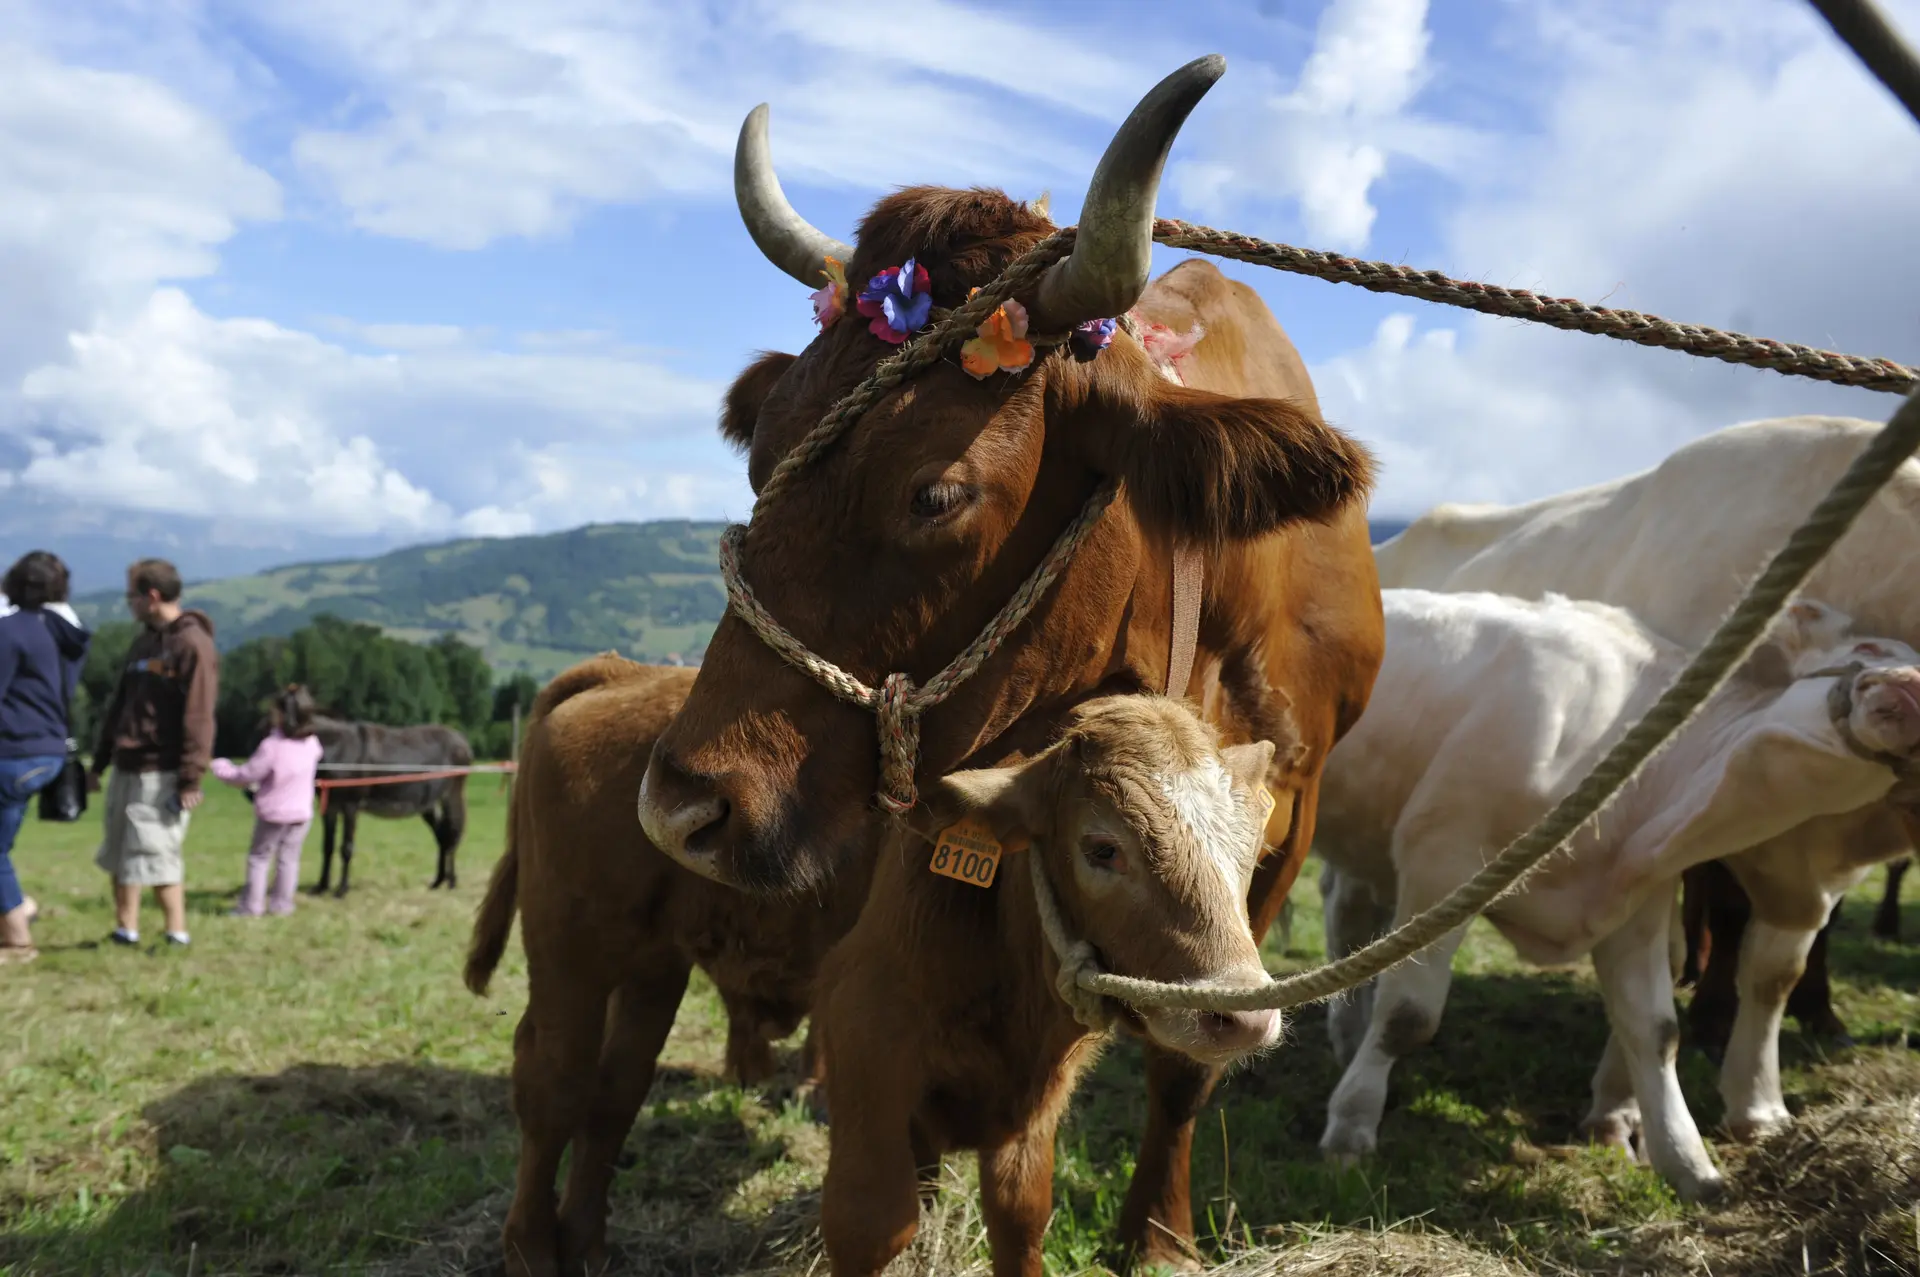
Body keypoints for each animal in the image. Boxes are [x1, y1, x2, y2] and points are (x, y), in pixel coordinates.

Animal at [307, 717, 472, 896]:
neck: (338, 748)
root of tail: (461, 739)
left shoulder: (350, 806)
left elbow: (346, 848)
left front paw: (342, 890)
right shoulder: (329, 807)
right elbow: (327, 846)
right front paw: (321, 887)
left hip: (451, 794)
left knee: (452, 832)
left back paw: (451, 882)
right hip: (428, 804)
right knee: (442, 835)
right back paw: (438, 882)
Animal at [464, 655, 869, 1277]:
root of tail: (622, 673)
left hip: (651, 969)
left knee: (614, 1091)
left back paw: (586, 1245)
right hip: (573, 959)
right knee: (553, 1084)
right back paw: (532, 1250)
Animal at [817, 696, 1282, 1277]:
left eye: (1253, 848)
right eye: (1102, 849)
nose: (1246, 1017)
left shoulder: (1037, 1103)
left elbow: (1021, 1212)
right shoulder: (861, 1031)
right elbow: (870, 1220)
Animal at [1313, 590, 1920, 1202]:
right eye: (1872, 648)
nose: (1911, 690)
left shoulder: (1635, 903)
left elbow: (1656, 1033)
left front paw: (1690, 1164)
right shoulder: (1442, 858)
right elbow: (1407, 1015)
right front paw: (1351, 1130)